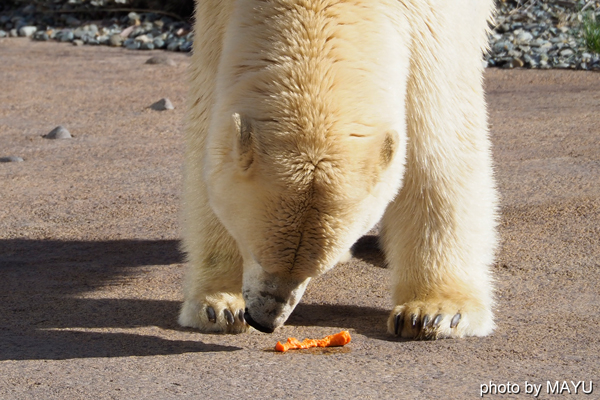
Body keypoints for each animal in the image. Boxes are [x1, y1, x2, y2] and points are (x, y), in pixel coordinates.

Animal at [178, 0, 496, 340]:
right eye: (255, 253)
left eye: (316, 270)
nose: (264, 321)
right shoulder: (217, 17)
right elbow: (208, 130)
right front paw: (220, 307)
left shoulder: (436, 21)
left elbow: (438, 140)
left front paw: (434, 313)